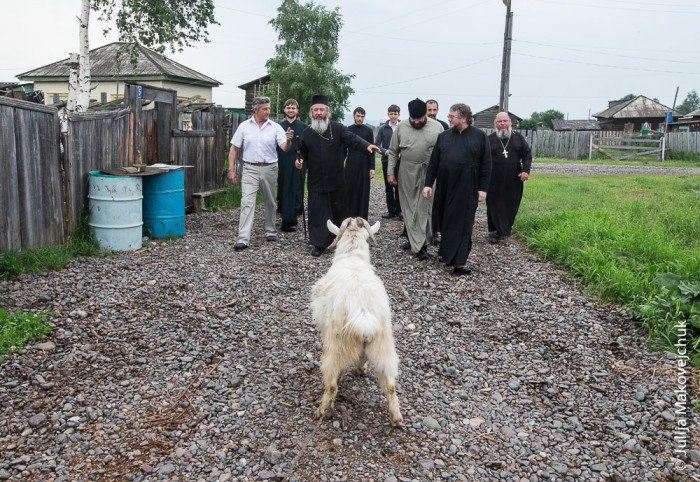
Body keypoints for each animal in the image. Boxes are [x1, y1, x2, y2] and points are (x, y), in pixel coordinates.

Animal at [308, 217, 402, 424]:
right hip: (384, 346)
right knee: (390, 384)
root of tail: (363, 315)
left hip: (336, 346)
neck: (352, 257)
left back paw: (322, 411)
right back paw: (396, 418)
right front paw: (361, 368)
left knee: (332, 385)